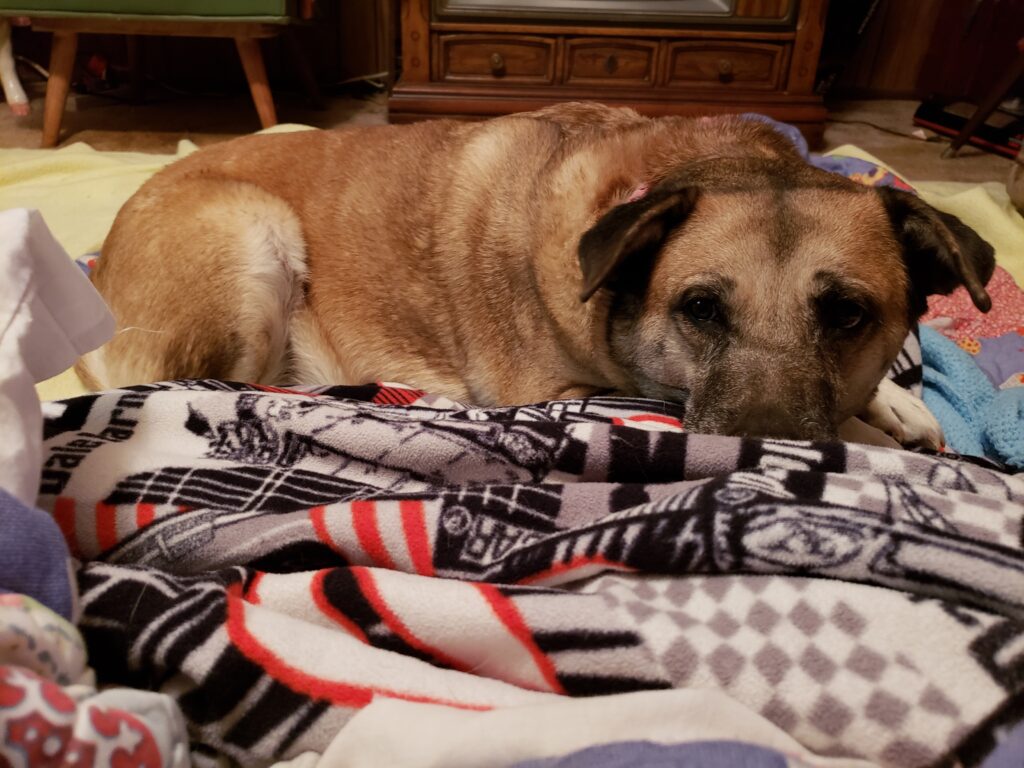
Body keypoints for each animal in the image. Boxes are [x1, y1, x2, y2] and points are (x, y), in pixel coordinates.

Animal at [77, 105, 991, 448]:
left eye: (847, 316)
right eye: (699, 308)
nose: (768, 447)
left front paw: (894, 403)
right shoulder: (573, 391)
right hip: (250, 235)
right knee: (210, 383)